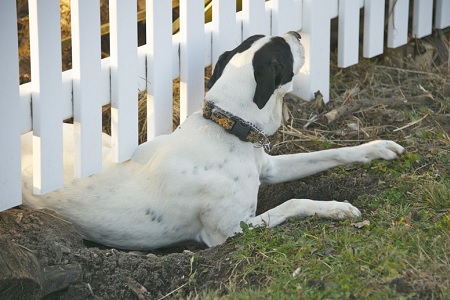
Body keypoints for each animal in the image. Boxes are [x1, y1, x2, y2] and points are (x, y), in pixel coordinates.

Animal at [20, 31, 404, 250]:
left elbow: (333, 152)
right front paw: (338, 208)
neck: (227, 127)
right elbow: (293, 202)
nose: (296, 31)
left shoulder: (269, 167)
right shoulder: (230, 232)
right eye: (285, 48)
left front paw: (376, 148)